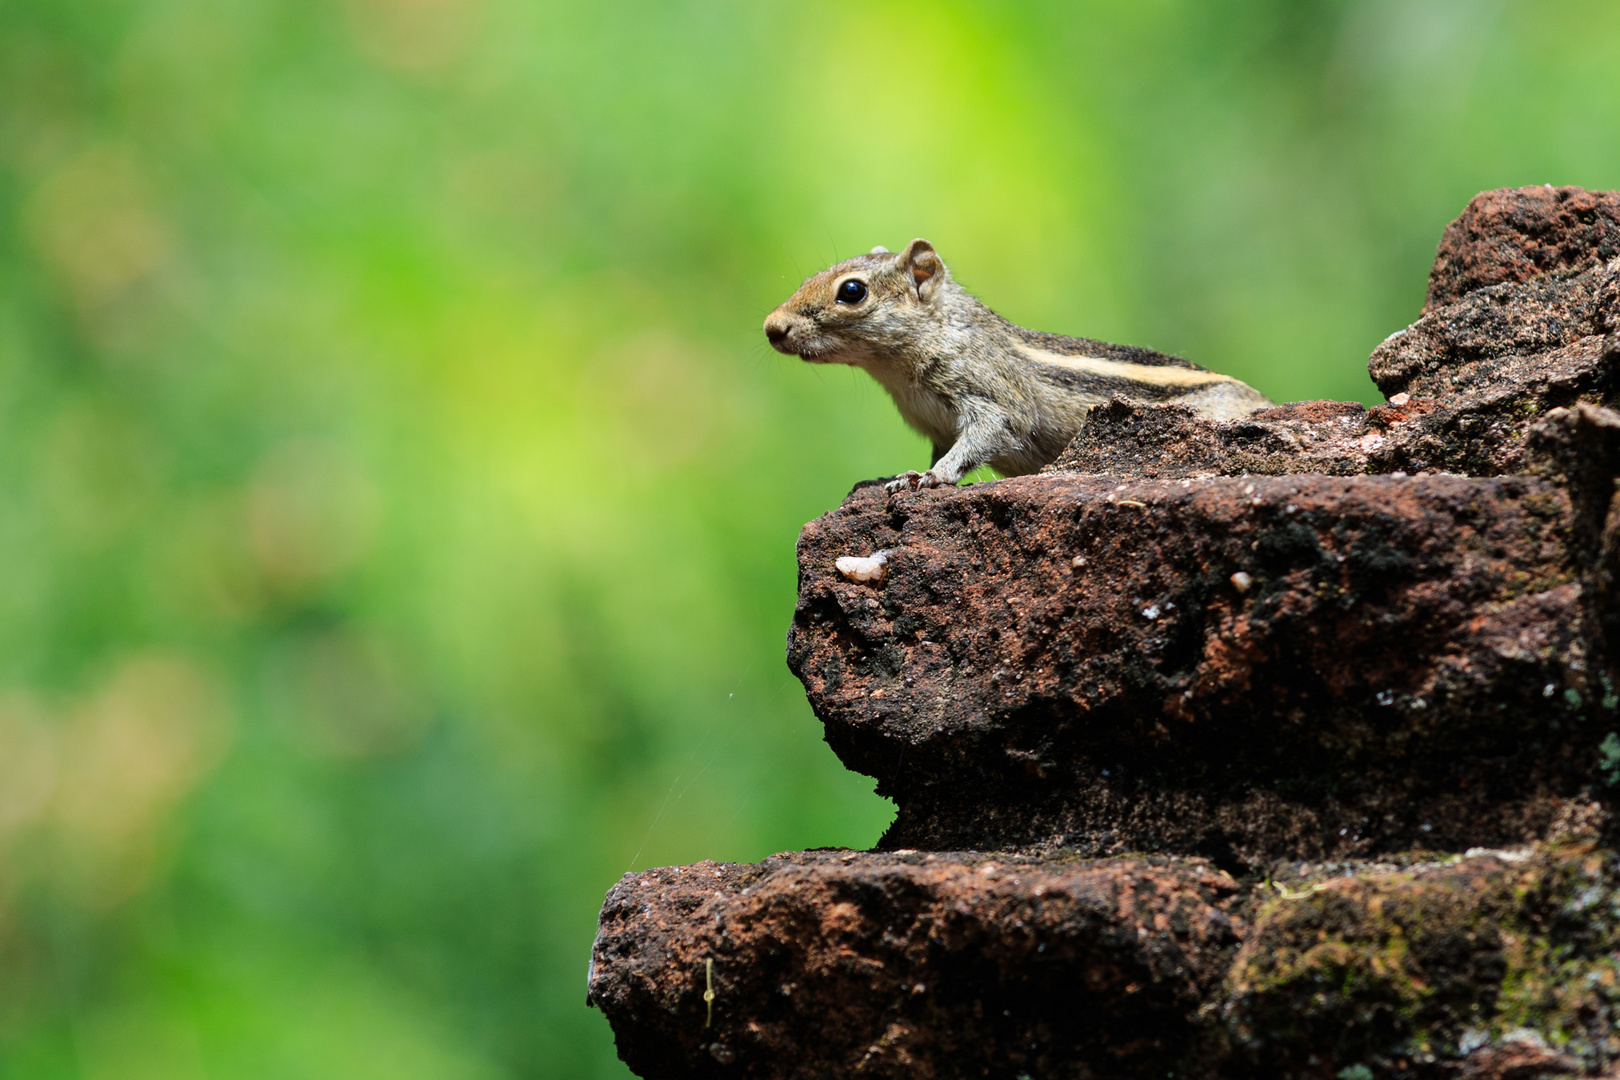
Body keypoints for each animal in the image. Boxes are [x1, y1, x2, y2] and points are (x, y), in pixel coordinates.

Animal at [764, 238, 1270, 492]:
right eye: (811, 277)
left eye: (852, 291)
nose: (771, 327)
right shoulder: (937, 425)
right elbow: (946, 448)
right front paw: (894, 475)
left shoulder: (992, 397)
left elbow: (983, 438)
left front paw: (928, 478)